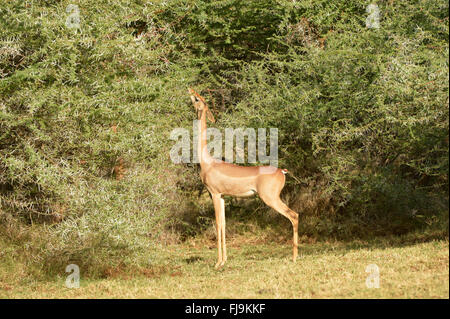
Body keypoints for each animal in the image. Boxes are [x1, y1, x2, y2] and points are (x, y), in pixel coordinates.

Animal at [190, 89, 298, 268]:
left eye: (198, 99)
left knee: (294, 215)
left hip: (270, 198)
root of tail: (282, 172)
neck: (207, 162)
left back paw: (295, 257)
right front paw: (224, 260)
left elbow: (217, 223)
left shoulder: (214, 194)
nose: (190, 90)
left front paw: (217, 263)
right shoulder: (223, 196)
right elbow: (224, 224)